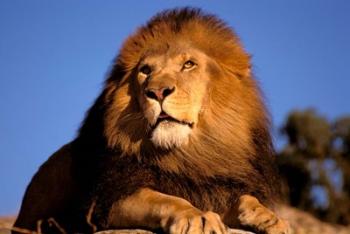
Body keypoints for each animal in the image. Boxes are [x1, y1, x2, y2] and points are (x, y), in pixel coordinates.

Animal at [13, 7, 290, 234]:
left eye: (188, 64)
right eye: (145, 71)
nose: (157, 92)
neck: (191, 154)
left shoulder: (217, 188)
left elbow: (244, 199)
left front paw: (270, 218)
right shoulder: (109, 200)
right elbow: (165, 200)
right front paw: (197, 217)